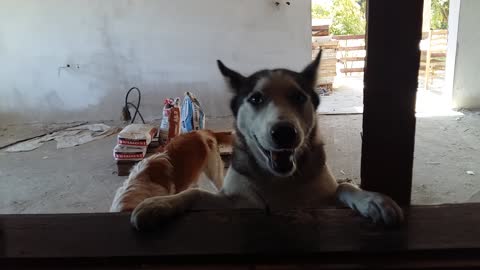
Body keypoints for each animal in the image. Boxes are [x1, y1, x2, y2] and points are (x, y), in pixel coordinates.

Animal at [130, 51, 402, 230]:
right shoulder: (237, 203)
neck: (278, 180)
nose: (284, 132)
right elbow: (194, 193)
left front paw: (372, 200)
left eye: (298, 97)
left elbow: (343, 187)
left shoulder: (322, 202)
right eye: (256, 98)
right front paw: (159, 204)